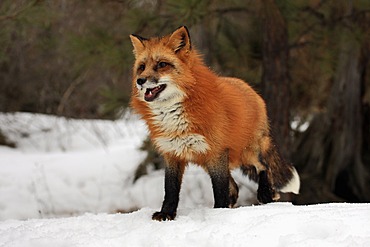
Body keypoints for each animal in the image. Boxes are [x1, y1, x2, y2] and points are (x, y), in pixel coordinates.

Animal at [129, 26, 300, 221]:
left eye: (162, 64)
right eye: (142, 67)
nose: (140, 81)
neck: (174, 116)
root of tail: (249, 88)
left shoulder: (216, 151)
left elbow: (219, 189)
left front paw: (220, 212)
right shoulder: (172, 153)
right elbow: (170, 189)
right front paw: (167, 213)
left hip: (245, 152)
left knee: (263, 166)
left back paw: (266, 193)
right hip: (207, 160)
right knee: (234, 188)